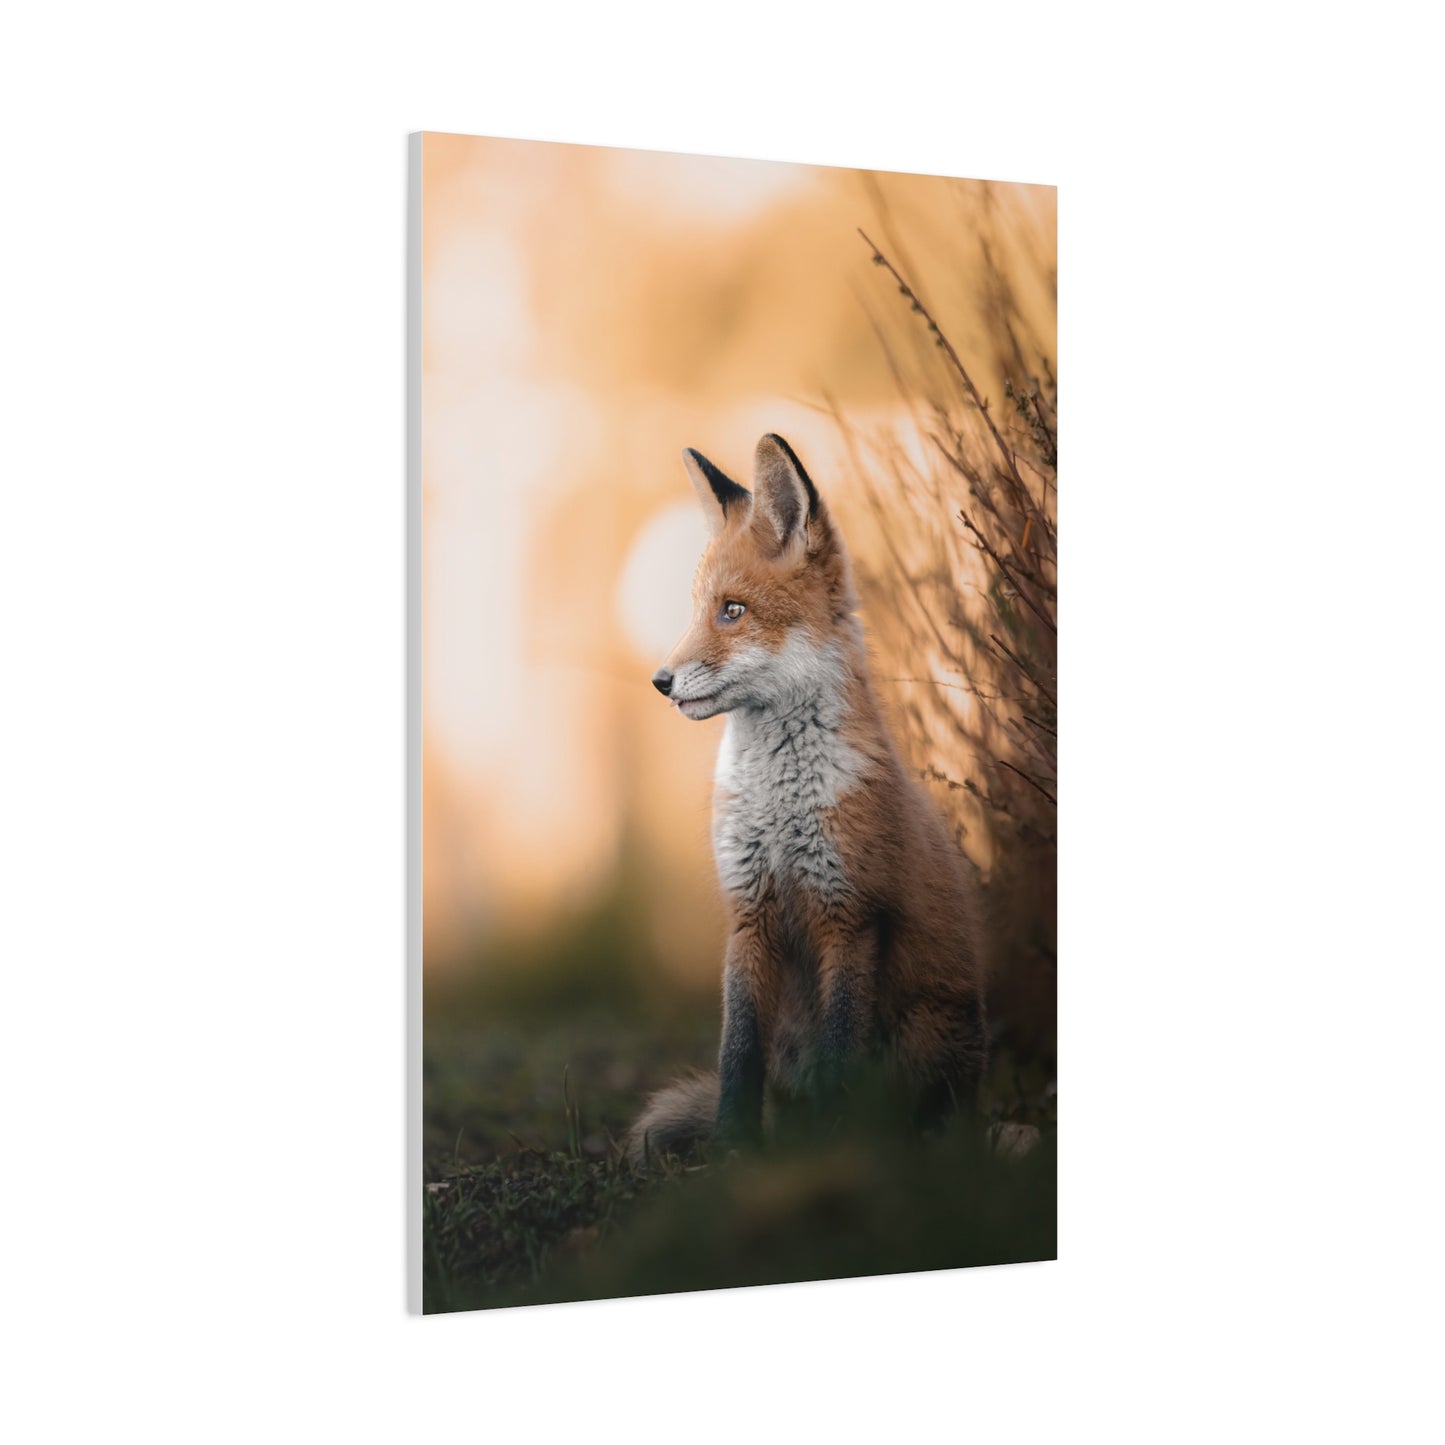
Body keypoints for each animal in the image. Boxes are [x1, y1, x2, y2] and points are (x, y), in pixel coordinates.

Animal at [624, 433, 987, 1165]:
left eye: (732, 611)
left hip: (925, 1033)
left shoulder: (848, 913)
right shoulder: (748, 913)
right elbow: (736, 1053)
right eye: (697, 608)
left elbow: (841, 1052)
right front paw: (733, 1148)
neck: (778, 805)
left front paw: (832, 1146)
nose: (660, 681)